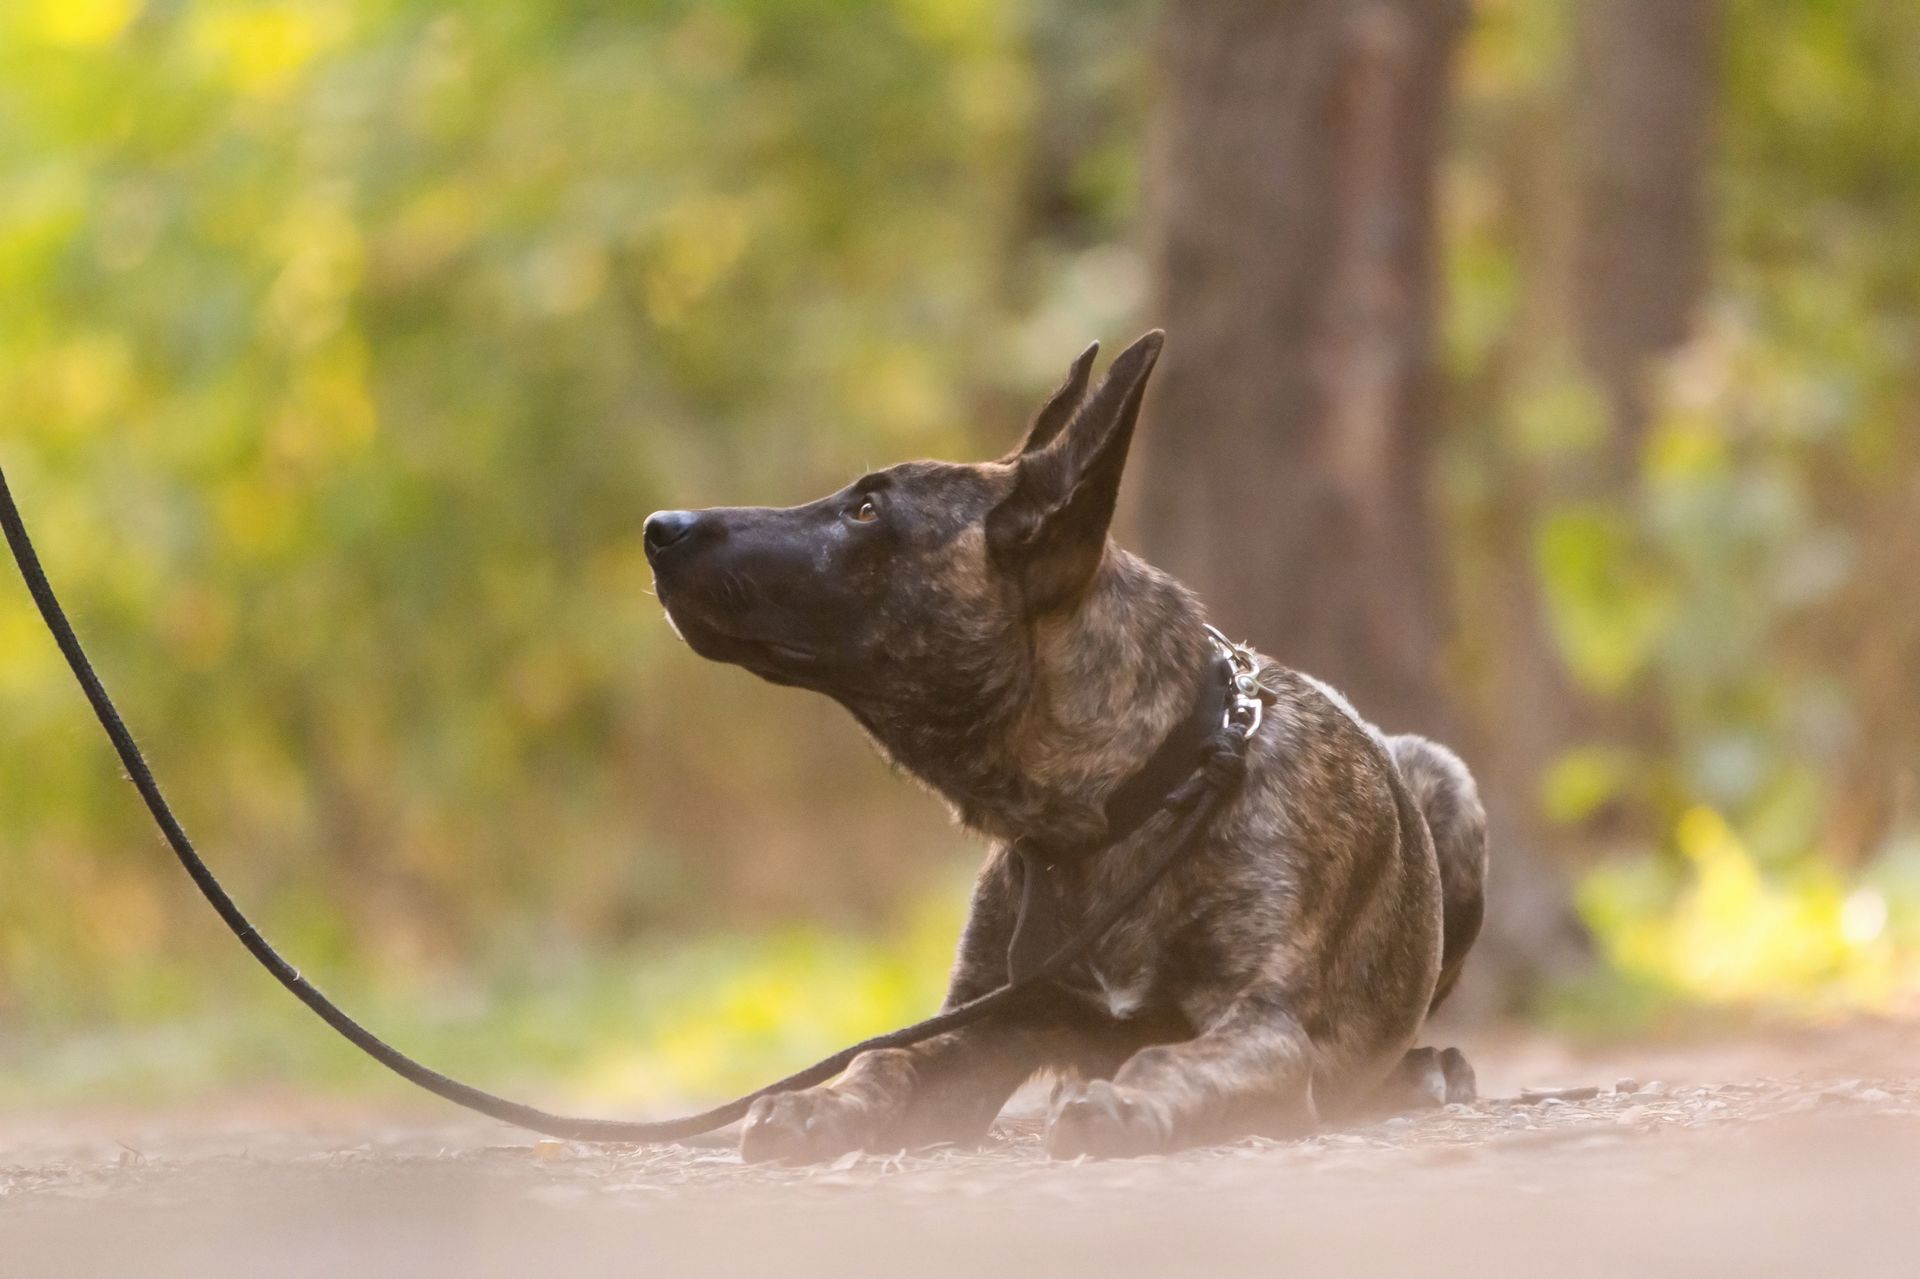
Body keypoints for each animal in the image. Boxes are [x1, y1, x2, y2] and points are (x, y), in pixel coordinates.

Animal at [642, 331, 1487, 1161]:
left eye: (867, 510)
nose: (658, 528)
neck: (1137, 795)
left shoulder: (1267, 1027)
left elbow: (1167, 1056)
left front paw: (1124, 1099)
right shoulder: (984, 1024)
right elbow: (885, 1058)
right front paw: (819, 1103)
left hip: (1451, 789)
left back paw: (1424, 1068)